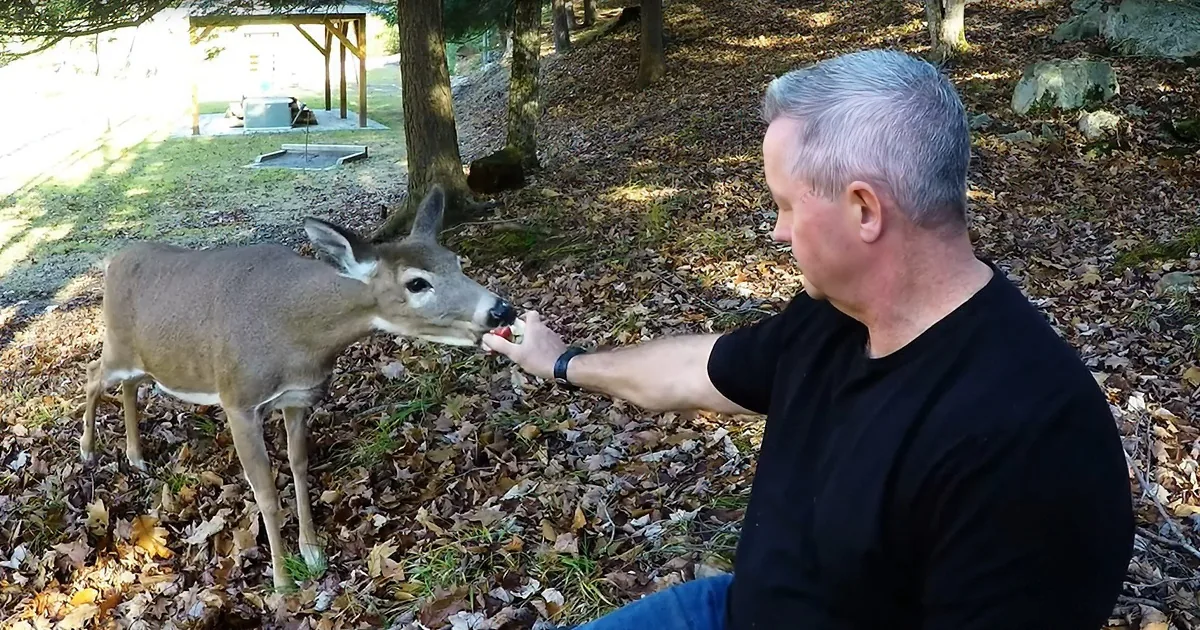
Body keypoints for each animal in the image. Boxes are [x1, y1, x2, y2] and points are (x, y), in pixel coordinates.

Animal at [78, 185, 516, 590]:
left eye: (455, 262)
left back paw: (136, 456)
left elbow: (299, 464)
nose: (502, 309)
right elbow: (266, 493)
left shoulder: (298, 398)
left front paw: (312, 551)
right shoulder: (239, 400)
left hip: (149, 362)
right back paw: (88, 450)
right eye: (417, 283)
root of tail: (113, 261)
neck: (298, 336)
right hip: (118, 346)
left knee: (129, 387)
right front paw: (282, 581)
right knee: (93, 375)